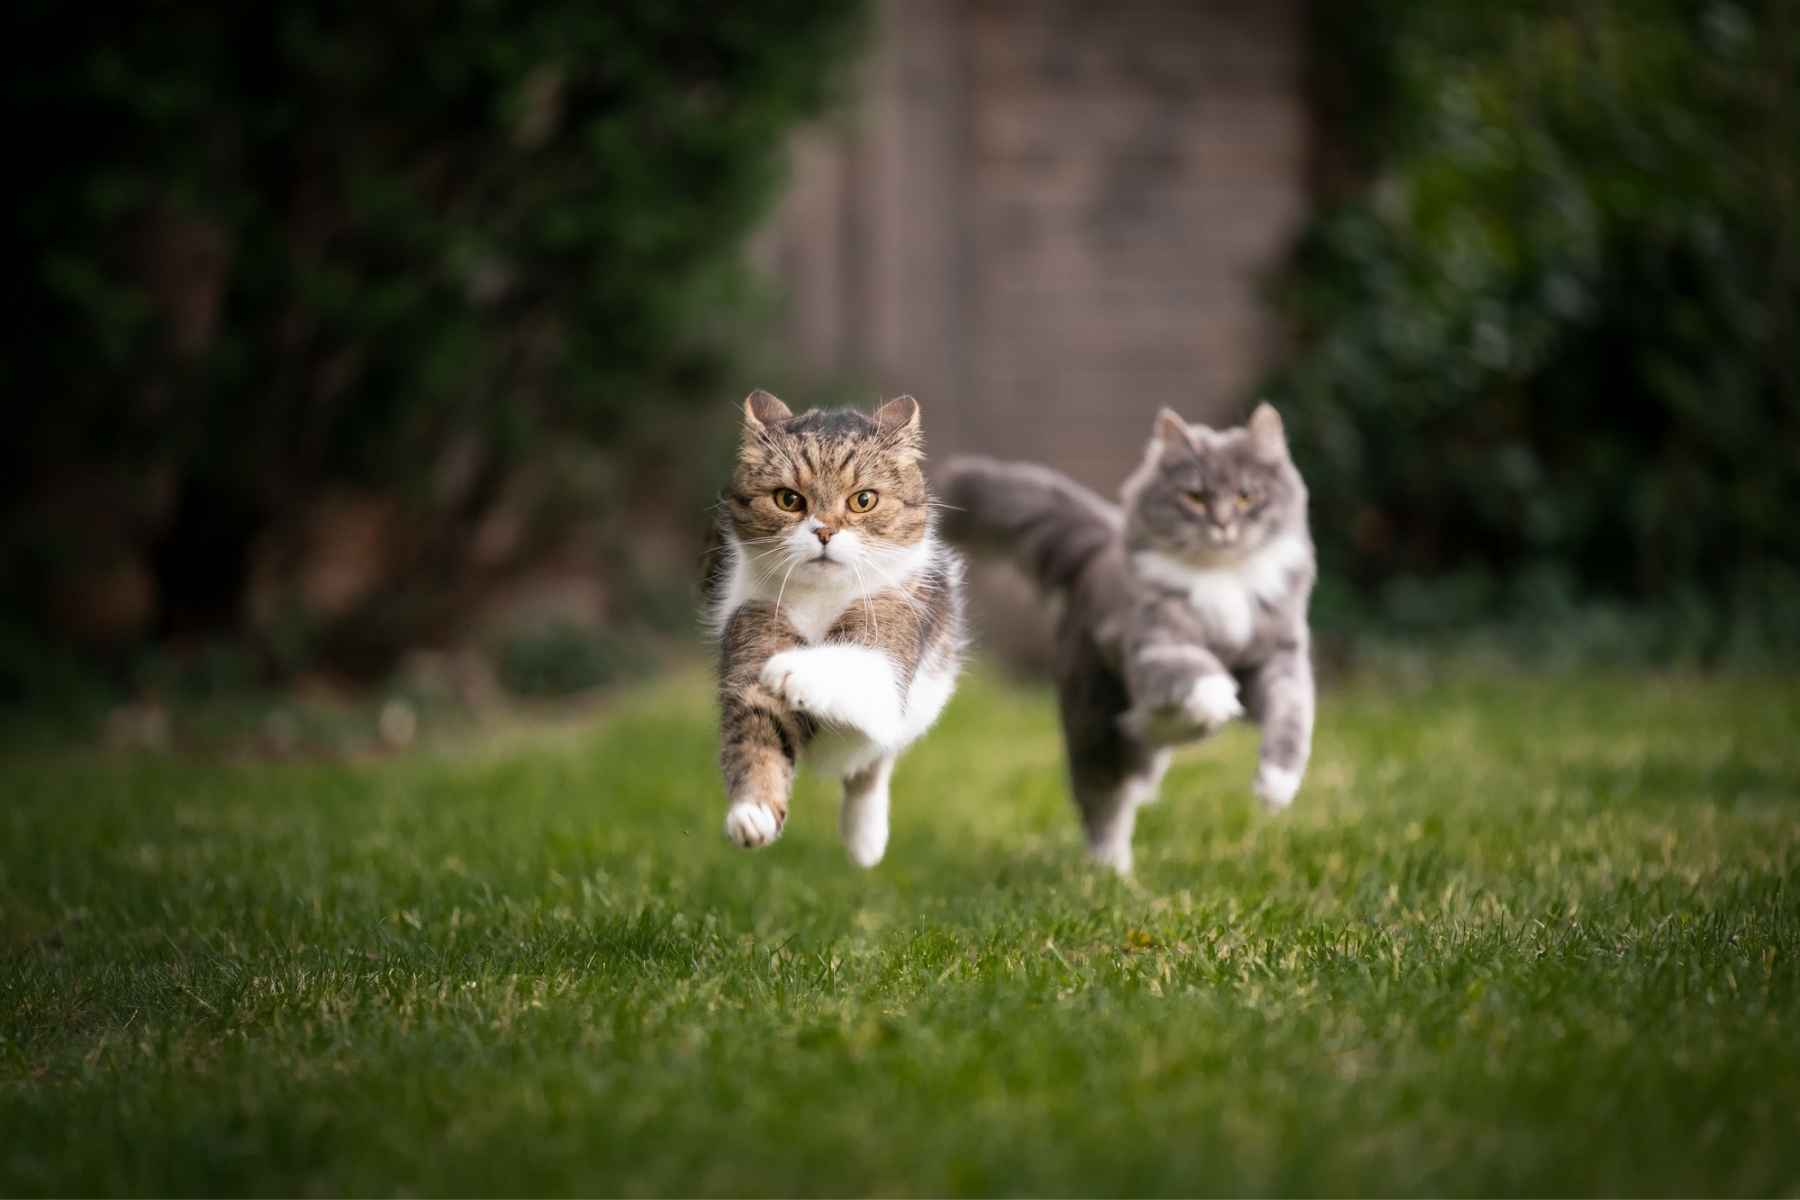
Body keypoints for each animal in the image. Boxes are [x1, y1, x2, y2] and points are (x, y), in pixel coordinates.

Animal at [943, 402, 1310, 874]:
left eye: (1247, 496)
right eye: (1195, 497)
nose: (1222, 525)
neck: (1221, 577)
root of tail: (1100, 546)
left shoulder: (1280, 658)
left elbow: (1291, 718)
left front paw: (1276, 787)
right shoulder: (1156, 644)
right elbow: (1198, 671)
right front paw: (1218, 699)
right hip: (1092, 722)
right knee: (1105, 801)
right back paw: (1112, 872)